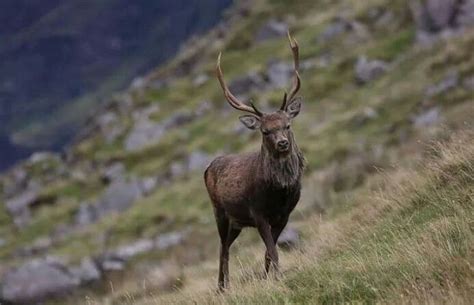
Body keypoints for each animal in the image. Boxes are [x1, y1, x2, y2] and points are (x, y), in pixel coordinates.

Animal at [204, 31, 304, 290]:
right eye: (265, 131)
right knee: (223, 249)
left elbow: (270, 251)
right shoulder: (258, 213)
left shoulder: (284, 215)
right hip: (220, 211)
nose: (282, 143)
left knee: (225, 246)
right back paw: (223, 287)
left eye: (287, 125)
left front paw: (268, 277)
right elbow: (273, 250)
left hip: (237, 222)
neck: (279, 195)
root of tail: (207, 168)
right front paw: (277, 278)